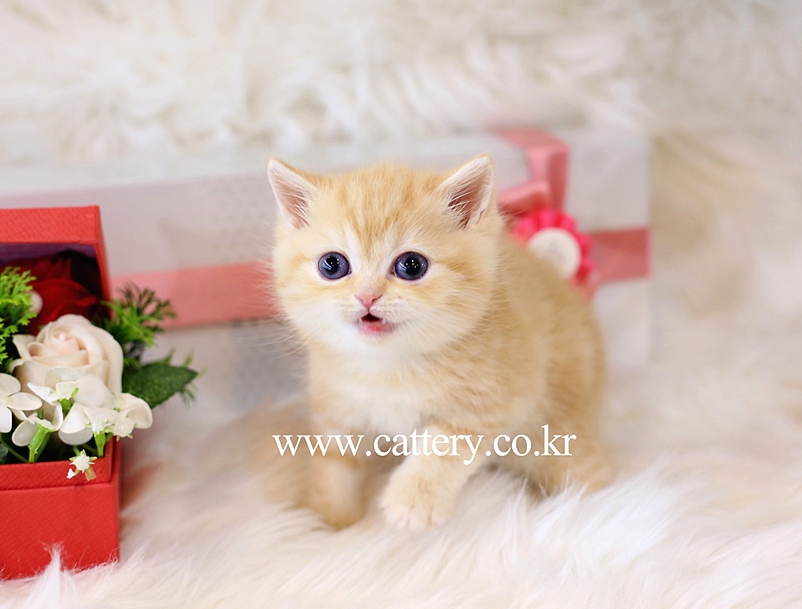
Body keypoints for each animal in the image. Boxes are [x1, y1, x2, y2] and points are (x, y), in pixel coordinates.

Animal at [267, 154, 614, 530]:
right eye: (332, 265)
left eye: (411, 265)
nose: (367, 296)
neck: (387, 366)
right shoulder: (336, 406)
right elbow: (333, 464)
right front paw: (332, 522)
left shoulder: (502, 397)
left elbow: (443, 448)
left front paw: (411, 502)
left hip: (561, 438)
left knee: (592, 475)